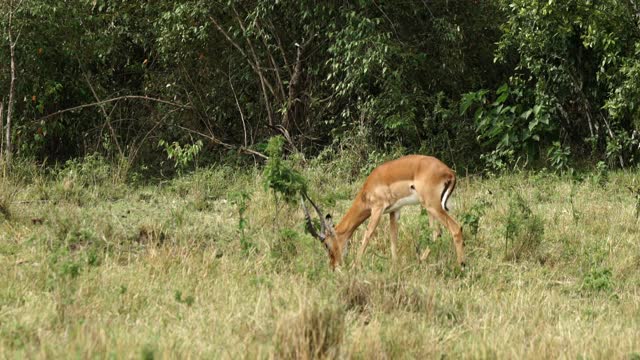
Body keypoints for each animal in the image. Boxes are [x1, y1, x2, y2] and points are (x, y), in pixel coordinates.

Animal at [302, 155, 464, 270]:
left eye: (327, 245)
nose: (333, 266)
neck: (368, 189)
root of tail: (449, 172)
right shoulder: (394, 211)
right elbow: (393, 238)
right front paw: (394, 266)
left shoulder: (377, 209)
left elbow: (367, 234)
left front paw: (355, 266)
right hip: (435, 207)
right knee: (436, 233)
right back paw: (420, 261)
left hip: (432, 206)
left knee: (455, 228)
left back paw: (461, 266)